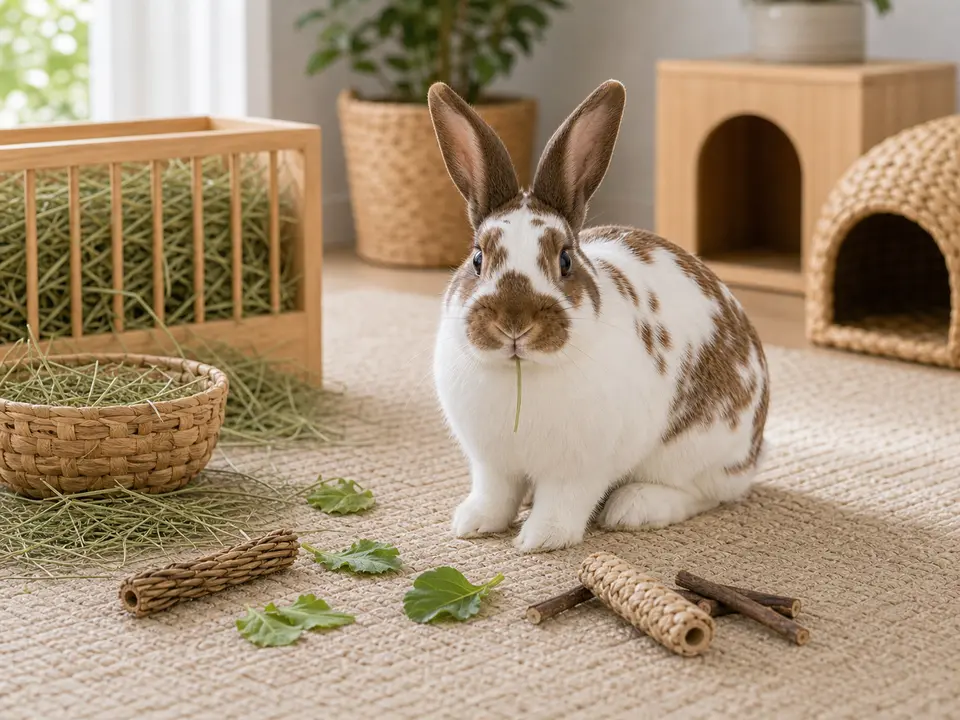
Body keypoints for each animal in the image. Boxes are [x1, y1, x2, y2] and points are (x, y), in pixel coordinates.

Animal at [426, 79, 770, 554]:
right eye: (478, 259)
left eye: (565, 260)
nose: (514, 323)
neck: (522, 371)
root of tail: (755, 448)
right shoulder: (492, 463)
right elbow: (495, 494)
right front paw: (473, 523)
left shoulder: (580, 469)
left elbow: (563, 503)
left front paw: (540, 539)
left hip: (696, 452)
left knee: (703, 493)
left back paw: (634, 507)